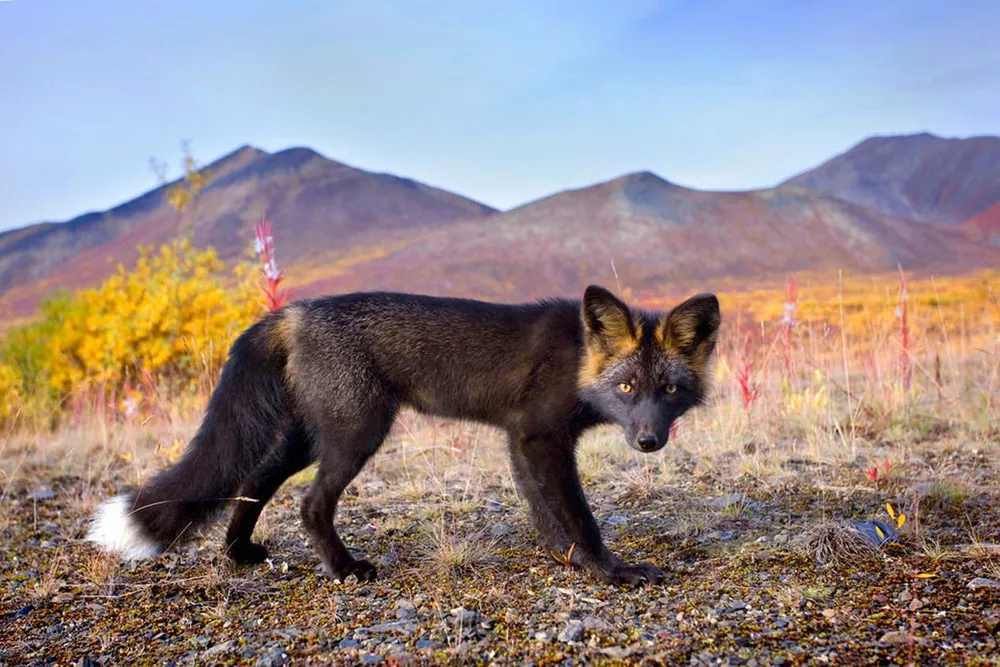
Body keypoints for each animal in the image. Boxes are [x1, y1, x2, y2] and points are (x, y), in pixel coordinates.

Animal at [87, 285, 720, 585]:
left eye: (667, 390)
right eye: (626, 388)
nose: (648, 442)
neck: (578, 360)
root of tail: (295, 311)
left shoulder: (519, 438)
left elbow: (544, 513)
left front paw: (562, 560)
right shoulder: (542, 436)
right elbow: (579, 516)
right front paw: (610, 571)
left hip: (308, 437)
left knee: (253, 482)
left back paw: (239, 552)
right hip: (357, 434)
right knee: (309, 503)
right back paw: (344, 570)